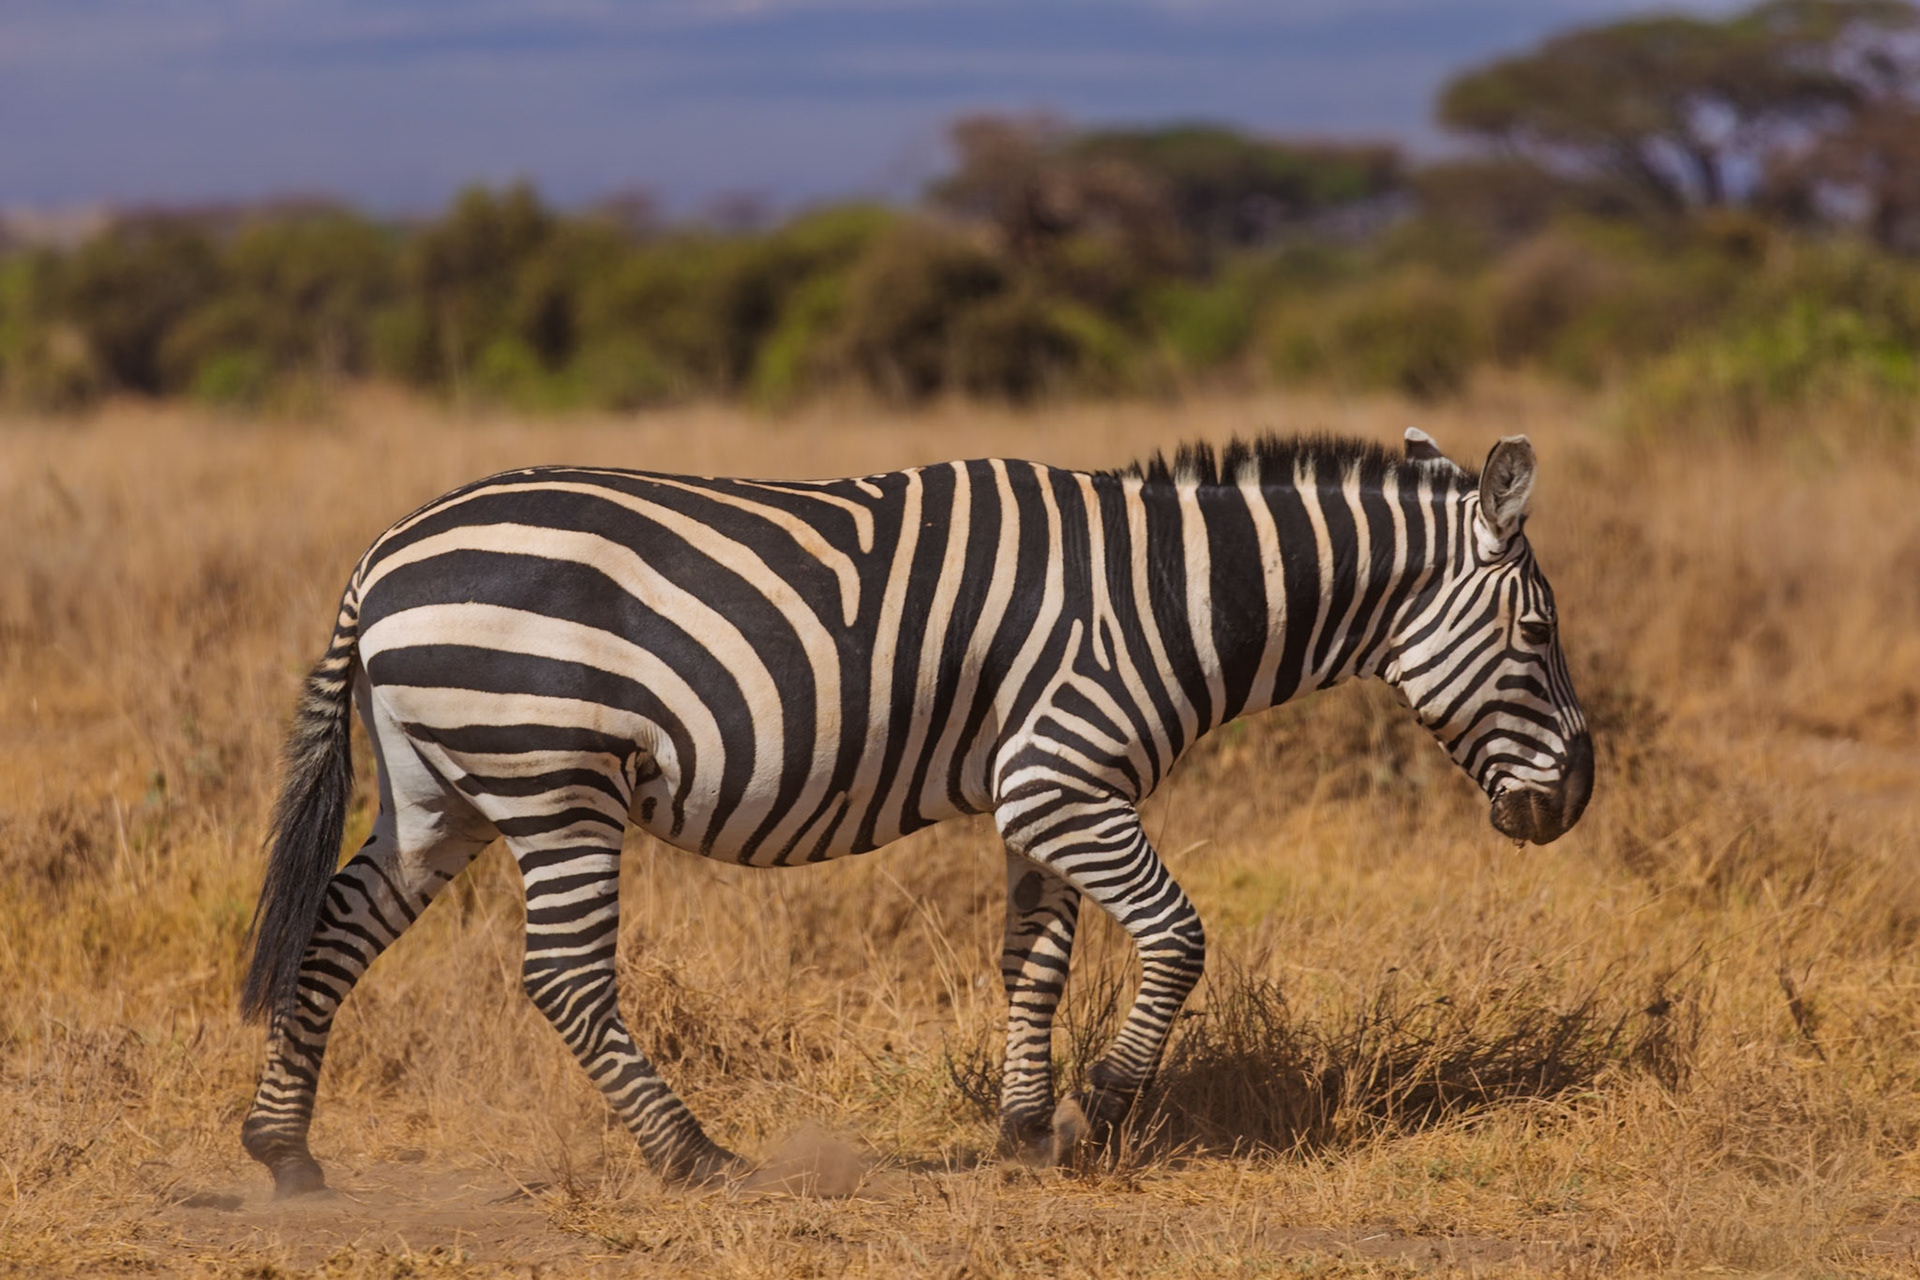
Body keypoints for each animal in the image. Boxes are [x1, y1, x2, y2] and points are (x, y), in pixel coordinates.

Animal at [238, 427, 1592, 1194]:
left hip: (445, 785)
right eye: (1537, 633)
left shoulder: (1042, 795)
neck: (1169, 594)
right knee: (565, 976)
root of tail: (381, 553)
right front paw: (1104, 1106)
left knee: (338, 925)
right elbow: (1178, 934)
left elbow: (1033, 959)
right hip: (553, 775)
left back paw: (285, 1150)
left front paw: (1026, 1129)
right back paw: (696, 1159)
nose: (1576, 799)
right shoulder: (1065, 773)